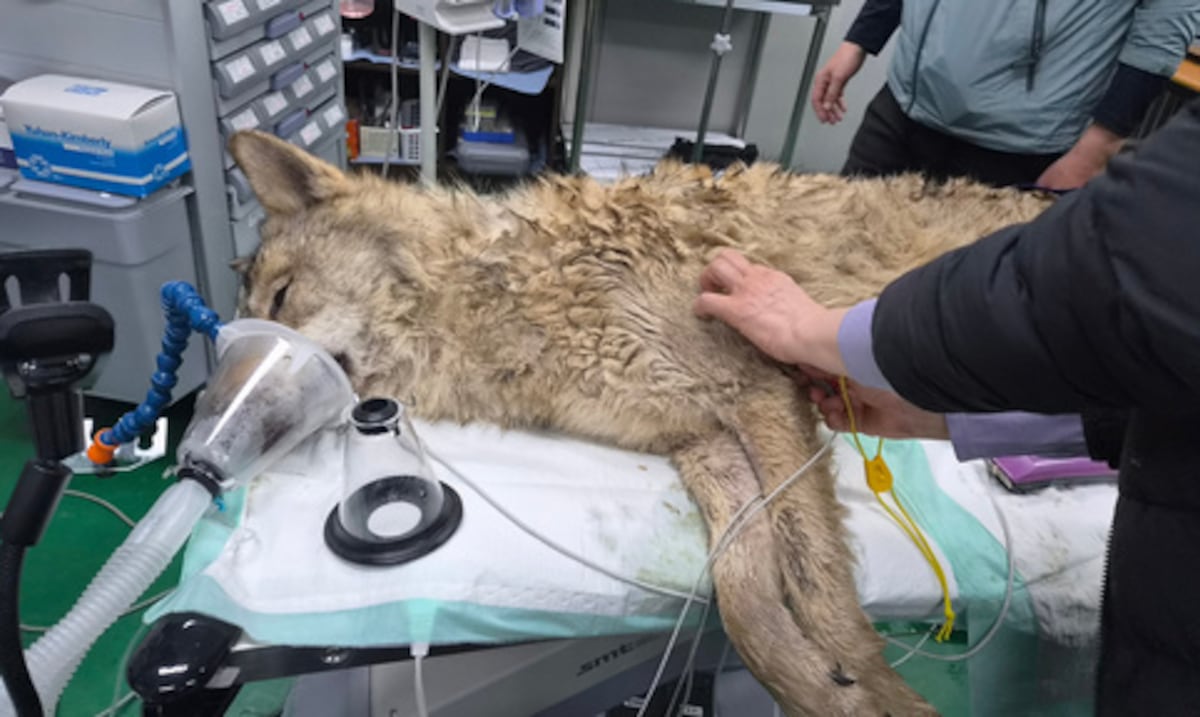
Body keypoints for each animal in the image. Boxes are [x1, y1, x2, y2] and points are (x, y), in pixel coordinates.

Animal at [228, 130, 1053, 716]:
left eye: (282, 298)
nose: (221, 434)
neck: (503, 295)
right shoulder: (703, 442)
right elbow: (747, 599)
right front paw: (827, 690)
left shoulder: (759, 391)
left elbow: (816, 582)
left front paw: (879, 692)